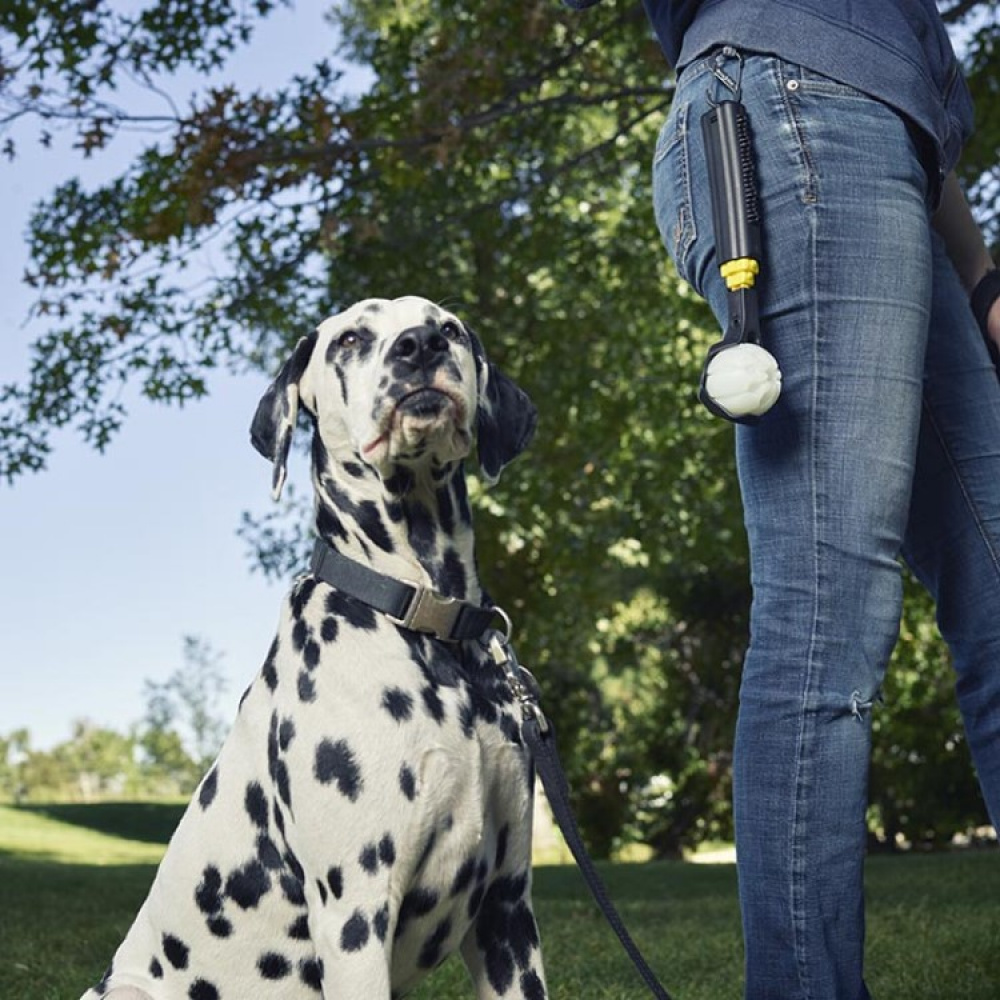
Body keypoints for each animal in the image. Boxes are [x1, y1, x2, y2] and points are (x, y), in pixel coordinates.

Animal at [85, 296, 548, 1000]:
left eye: (448, 327)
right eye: (351, 338)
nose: (419, 347)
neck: (426, 620)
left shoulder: (508, 911)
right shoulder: (355, 914)